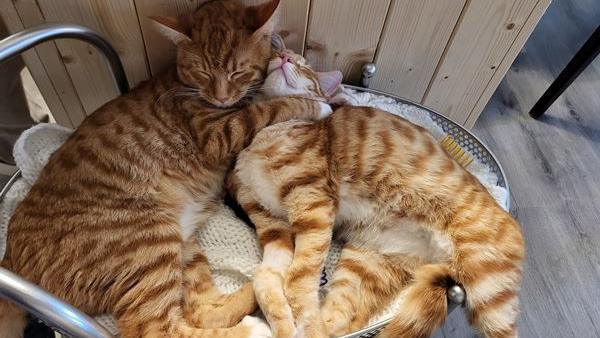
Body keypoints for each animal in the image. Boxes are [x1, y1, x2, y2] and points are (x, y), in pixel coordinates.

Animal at [0, 1, 328, 336]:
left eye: (238, 71)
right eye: (203, 72)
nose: (221, 97)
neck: (187, 88)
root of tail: (10, 260)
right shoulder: (220, 134)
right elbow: (269, 108)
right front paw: (318, 105)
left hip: (183, 249)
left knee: (201, 310)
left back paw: (259, 289)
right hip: (148, 242)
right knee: (159, 327)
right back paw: (254, 324)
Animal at [227, 48, 524, 336]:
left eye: (304, 67)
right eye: (278, 54)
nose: (285, 57)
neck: (264, 134)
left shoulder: (313, 205)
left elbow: (298, 279)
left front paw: (301, 317)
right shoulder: (271, 224)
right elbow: (265, 279)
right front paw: (283, 324)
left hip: (489, 287)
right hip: (366, 266)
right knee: (343, 321)